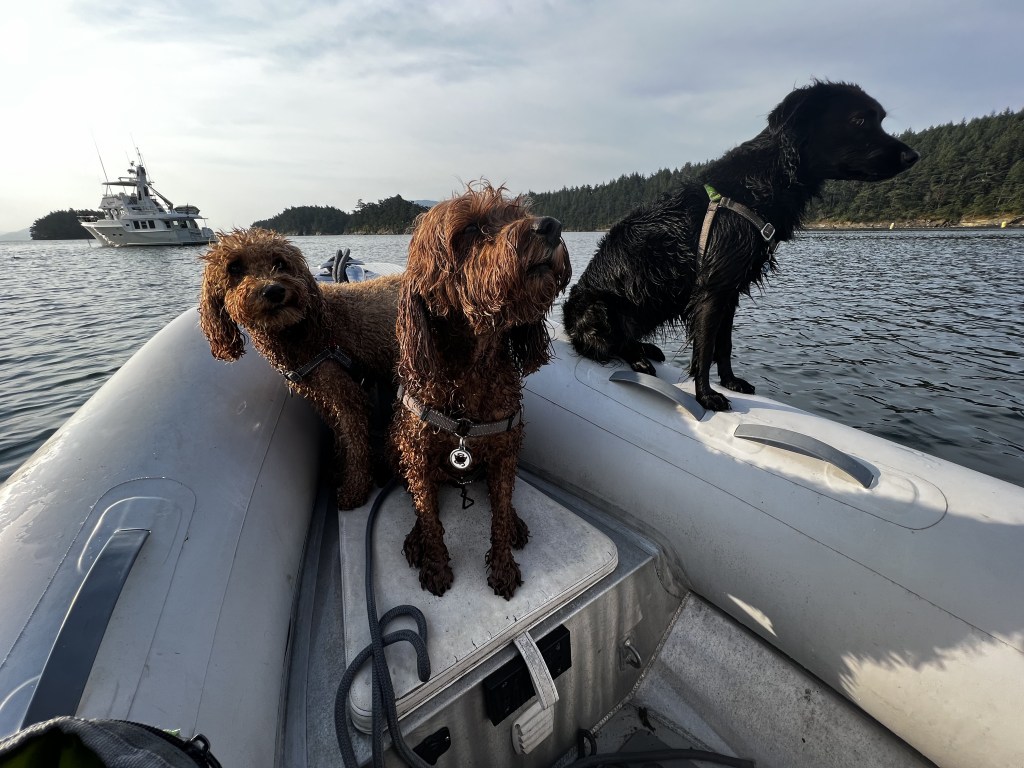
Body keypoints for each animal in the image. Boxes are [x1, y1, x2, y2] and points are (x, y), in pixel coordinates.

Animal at [199, 228, 401, 509]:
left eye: (280, 263)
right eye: (234, 267)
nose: (273, 290)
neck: (300, 332)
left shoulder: (348, 398)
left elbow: (356, 445)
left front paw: (356, 488)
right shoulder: (323, 396)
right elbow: (342, 438)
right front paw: (339, 469)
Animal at [392, 184, 571, 599]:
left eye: (515, 214)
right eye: (470, 228)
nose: (550, 226)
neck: (473, 367)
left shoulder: (505, 451)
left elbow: (500, 512)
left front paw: (503, 568)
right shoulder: (416, 452)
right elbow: (428, 513)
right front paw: (436, 565)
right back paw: (416, 538)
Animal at [563, 80, 920, 411]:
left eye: (880, 119)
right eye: (860, 121)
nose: (913, 156)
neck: (765, 181)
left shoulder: (731, 290)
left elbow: (724, 345)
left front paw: (731, 382)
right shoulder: (713, 288)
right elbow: (705, 347)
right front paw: (707, 396)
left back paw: (644, 350)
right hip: (601, 308)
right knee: (605, 344)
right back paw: (637, 358)